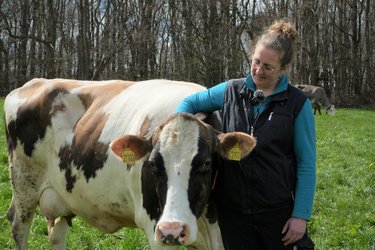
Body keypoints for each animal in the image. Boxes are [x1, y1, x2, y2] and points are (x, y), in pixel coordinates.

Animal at [4, 77, 258, 249]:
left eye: (205, 163)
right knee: (18, 226)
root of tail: (36, 82)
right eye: (153, 165)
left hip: (61, 197)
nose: (173, 229)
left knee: (56, 234)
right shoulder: (156, 228)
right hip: (23, 186)